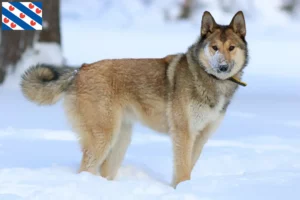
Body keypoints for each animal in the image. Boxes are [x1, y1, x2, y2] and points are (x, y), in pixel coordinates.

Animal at [20, 10, 248, 188]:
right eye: (214, 47)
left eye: (231, 48)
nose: (223, 67)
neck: (211, 82)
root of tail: (79, 70)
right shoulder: (183, 133)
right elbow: (183, 170)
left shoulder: (201, 137)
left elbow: (186, 169)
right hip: (104, 137)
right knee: (85, 169)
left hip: (121, 139)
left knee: (104, 172)